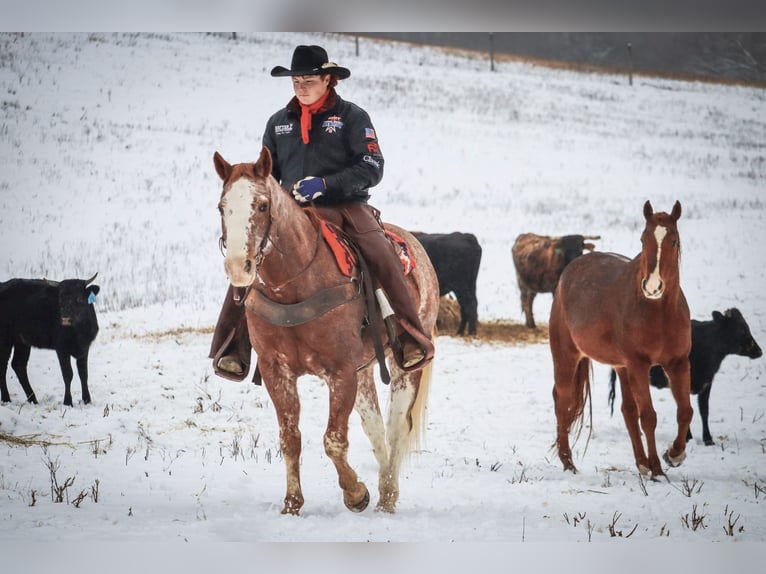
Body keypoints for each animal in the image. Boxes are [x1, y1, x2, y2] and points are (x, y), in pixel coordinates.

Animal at [1, 276, 100, 408]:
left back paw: (33, 400)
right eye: (60, 299)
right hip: (5, 339)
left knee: (18, 365)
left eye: (79, 299)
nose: (65, 318)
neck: (78, 332)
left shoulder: (84, 348)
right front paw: (67, 402)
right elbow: (68, 374)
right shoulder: (61, 348)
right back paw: (6, 399)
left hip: (21, 341)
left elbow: (83, 374)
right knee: (3, 365)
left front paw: (87, 400)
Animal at [213, 146, 440, 516]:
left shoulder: (340, 371)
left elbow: (333, 440)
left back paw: (387, 496)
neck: (293, 284)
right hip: (364, 373)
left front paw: (356, 494)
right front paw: (292, 504)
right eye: (222, 206)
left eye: (262, 205)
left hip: (405, 366)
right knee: (375, 427)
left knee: (395, 428)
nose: (238, 267)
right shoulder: (278, 371)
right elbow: (290, 438)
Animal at [548, 200, 692, 480]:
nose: (653, 286)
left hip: (622, 367)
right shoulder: (639, 365)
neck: (658, 311)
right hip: (567, 357)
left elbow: (685, 411)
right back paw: (568, 463)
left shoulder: (678, 363)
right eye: (643, 239)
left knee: (627, 411)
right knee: (562, 401)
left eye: (673, 241)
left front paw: (674, 454)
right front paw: (658, 469)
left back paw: (641, 463)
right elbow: (649, 417)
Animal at [608, 310, 764, 446]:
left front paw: (708, 439)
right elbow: (685, 408)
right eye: (741, 330)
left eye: (747, 328)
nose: (759, 351)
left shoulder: (706, 383)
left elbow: (704, 410)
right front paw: (687, 437)